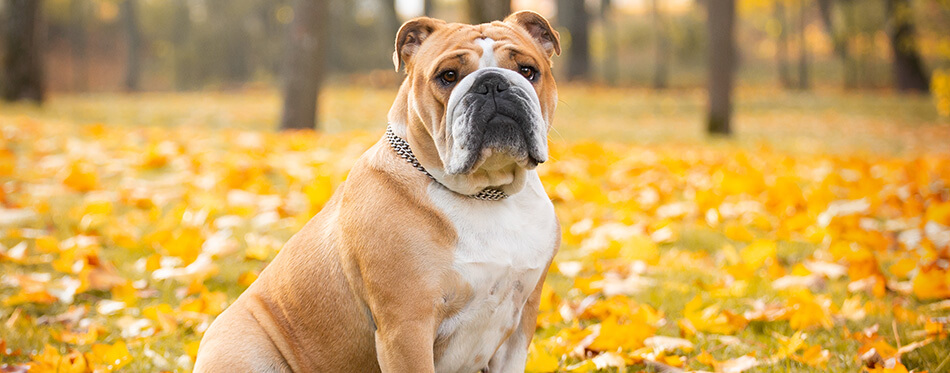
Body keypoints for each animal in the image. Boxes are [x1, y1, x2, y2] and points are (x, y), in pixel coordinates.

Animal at [196, 10, 560, 370]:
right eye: (448, 76)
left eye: (527, 70)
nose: (492, 83)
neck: (488, 192)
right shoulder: (406, 328)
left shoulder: (521, 322)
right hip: (243, 348)